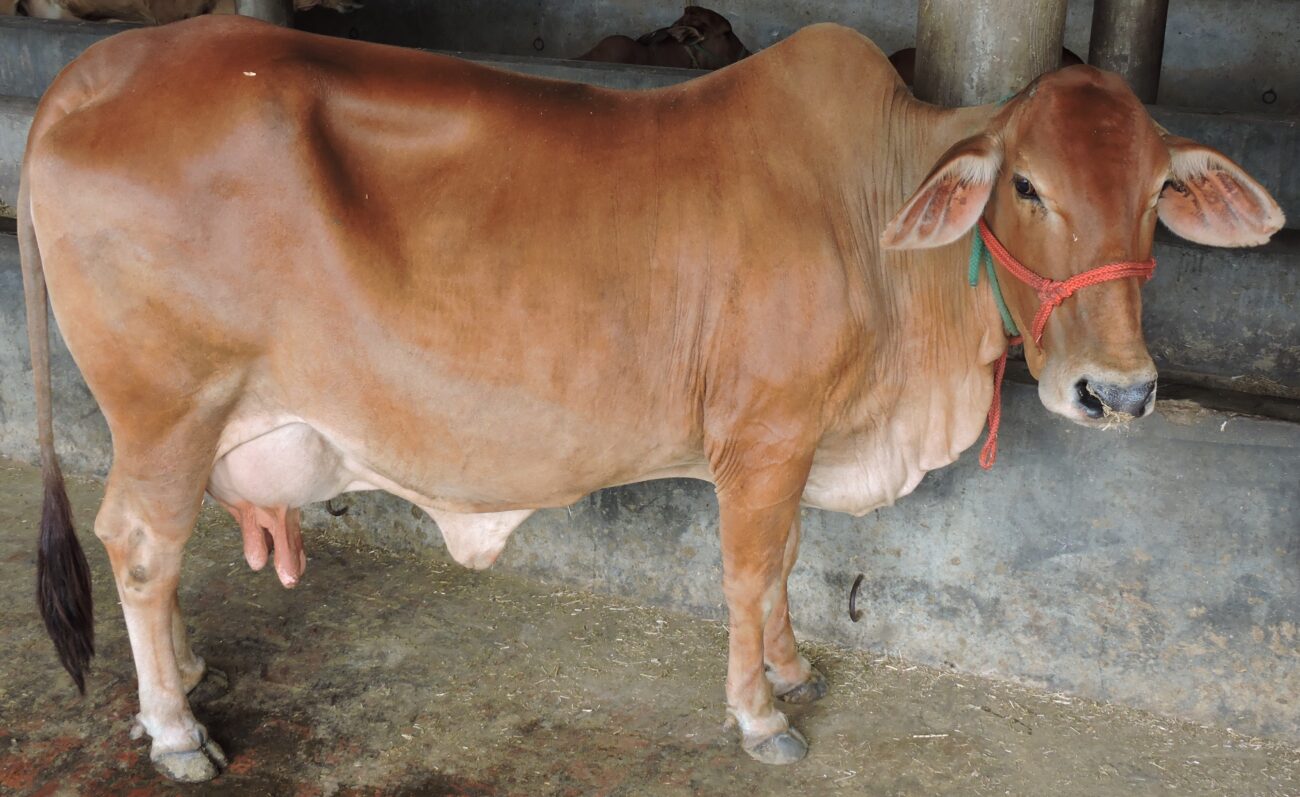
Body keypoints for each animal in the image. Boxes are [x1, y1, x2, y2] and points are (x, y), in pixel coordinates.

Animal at [25, 15, 1284, 780]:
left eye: (1157, 191)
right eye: (1024, 184)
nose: (1116, 391)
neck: (871, 217)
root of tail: (88, 75)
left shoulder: (796, 439)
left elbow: (784, 566)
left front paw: (790, 666)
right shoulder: (763, 436)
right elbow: (747, 567)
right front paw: (761, 714)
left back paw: (183, 677)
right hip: (168, 405)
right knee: (139, 543)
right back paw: (176, 729)